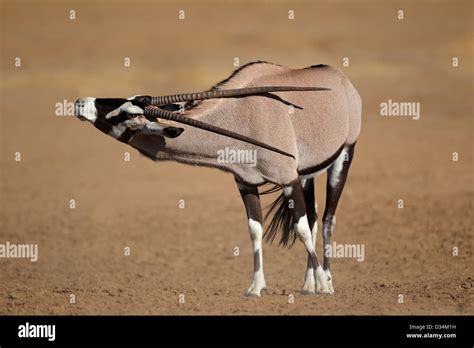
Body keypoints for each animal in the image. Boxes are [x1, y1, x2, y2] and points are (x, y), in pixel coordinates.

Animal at [75, 61, 362, 294]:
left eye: (130, 114)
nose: (80, 103)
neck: (242, 114)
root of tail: (340, 78)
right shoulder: (246, 183)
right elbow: (255, 229)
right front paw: (256, 287)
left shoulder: (287, 179)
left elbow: (300, 228)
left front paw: (324, 285)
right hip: (306, 174)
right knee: (313, 218)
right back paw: (307, 285)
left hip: (343, 157)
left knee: (326, 220)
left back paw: (325, 280)